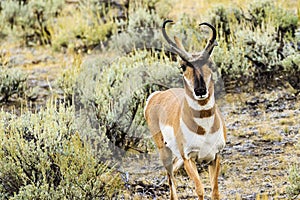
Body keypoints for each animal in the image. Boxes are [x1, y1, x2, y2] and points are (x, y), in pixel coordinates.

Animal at [144, 19, 226, 199]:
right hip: (165, 152)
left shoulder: (215, 157)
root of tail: (157, 95)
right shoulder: (189, 159)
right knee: (170, 181)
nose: (200, 90)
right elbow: (200, 189)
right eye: (183, 66)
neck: (204, 129)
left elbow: (215, 191)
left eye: (209, 64)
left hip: (178, 157)